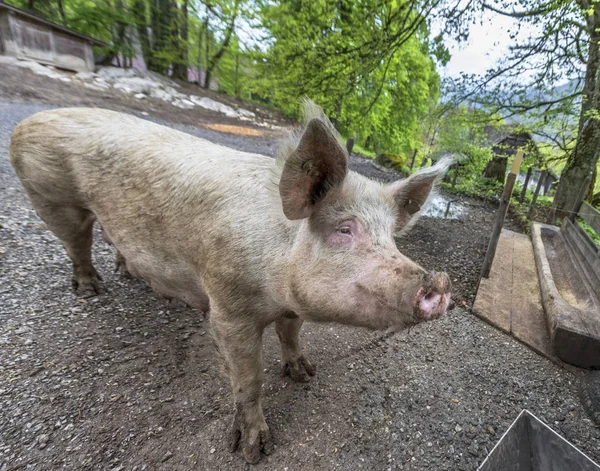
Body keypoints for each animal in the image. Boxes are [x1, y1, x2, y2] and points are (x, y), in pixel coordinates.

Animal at [9, 100, 452, 464]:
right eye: (345, 229)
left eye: (391, 238)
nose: (439, 283)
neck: (274, 280)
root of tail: (33, 119)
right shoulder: (227, 308)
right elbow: (248, 379)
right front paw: (254, 451)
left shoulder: (291, 303)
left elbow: (291, 334)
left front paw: (304, 373)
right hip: (52, 199)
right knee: (77, 242)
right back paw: (91, 290)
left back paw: (127, 273)